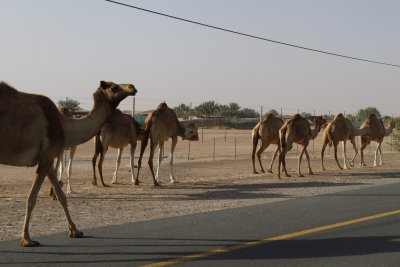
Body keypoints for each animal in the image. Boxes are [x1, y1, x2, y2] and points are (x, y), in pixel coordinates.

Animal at [0, 81, 136, 247]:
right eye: (114, 87)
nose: (132, 87)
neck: (63, 125)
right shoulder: (45, 158)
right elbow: (31, 199)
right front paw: (26, 239)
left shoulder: (47, 160)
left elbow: (61, 196)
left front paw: (75, 231)